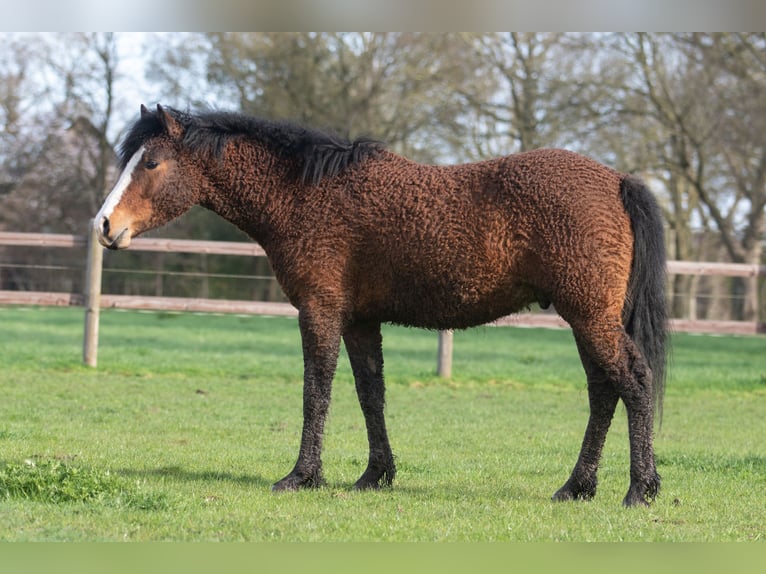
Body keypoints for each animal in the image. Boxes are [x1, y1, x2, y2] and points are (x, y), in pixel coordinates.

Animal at [96, 104, 668, 508]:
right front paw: (375, 474)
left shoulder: (320, 311)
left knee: (633, 381)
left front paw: (302, 476)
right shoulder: (360, 321)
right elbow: (371, 394)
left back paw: (639, 489)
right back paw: (577, 487)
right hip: (586, 317)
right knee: (603, 392)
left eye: (151, 162)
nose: (104, 225)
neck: (305, 196)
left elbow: (316, 393)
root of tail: (617, 180)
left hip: (589, 316)